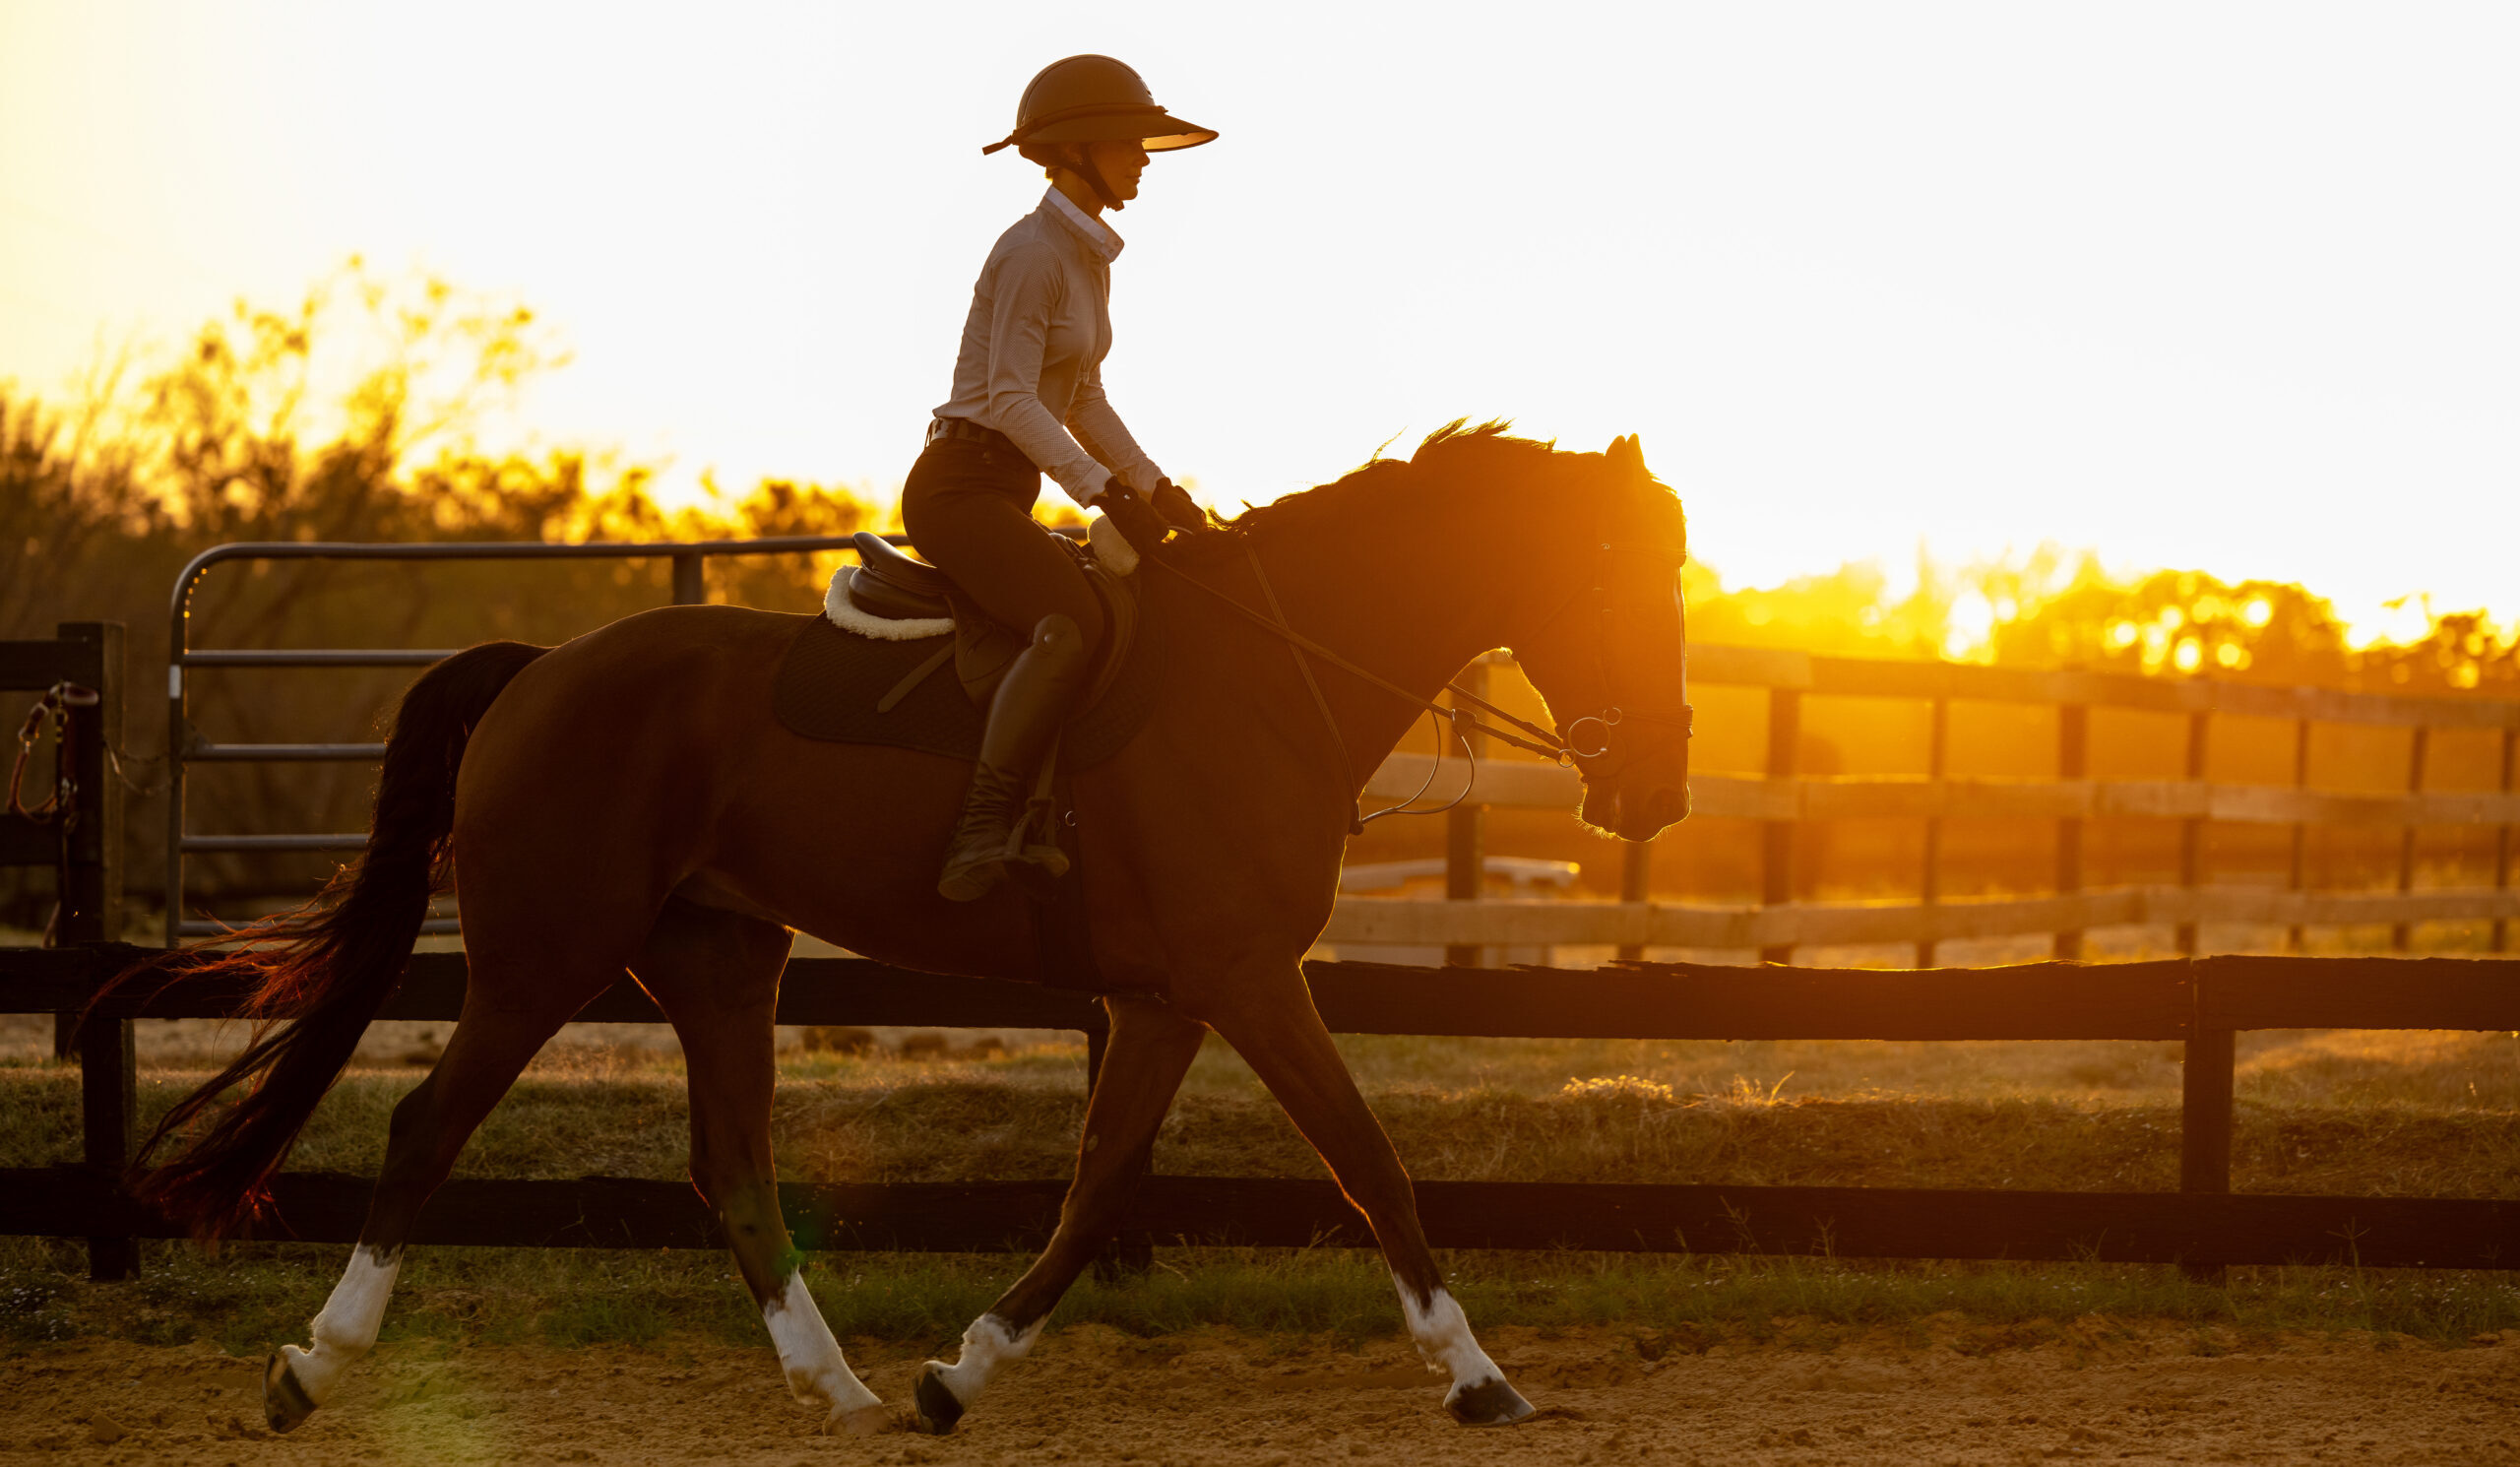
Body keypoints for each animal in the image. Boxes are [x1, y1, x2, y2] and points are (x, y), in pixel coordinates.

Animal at [128, 423, 1693, 1437]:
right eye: (1614, 575)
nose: (1657, 791)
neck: (1261, 675)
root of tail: (539, 671)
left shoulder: (1168, 1000)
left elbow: (1097, 1189)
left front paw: (961, 1371)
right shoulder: (1249, 981)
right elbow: (1371, 1162)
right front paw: (1477, 1372)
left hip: (719, 964)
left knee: (732, 1163)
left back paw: (837, 1383)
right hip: (540, 960)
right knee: (425, 1129)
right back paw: (313, 1365)